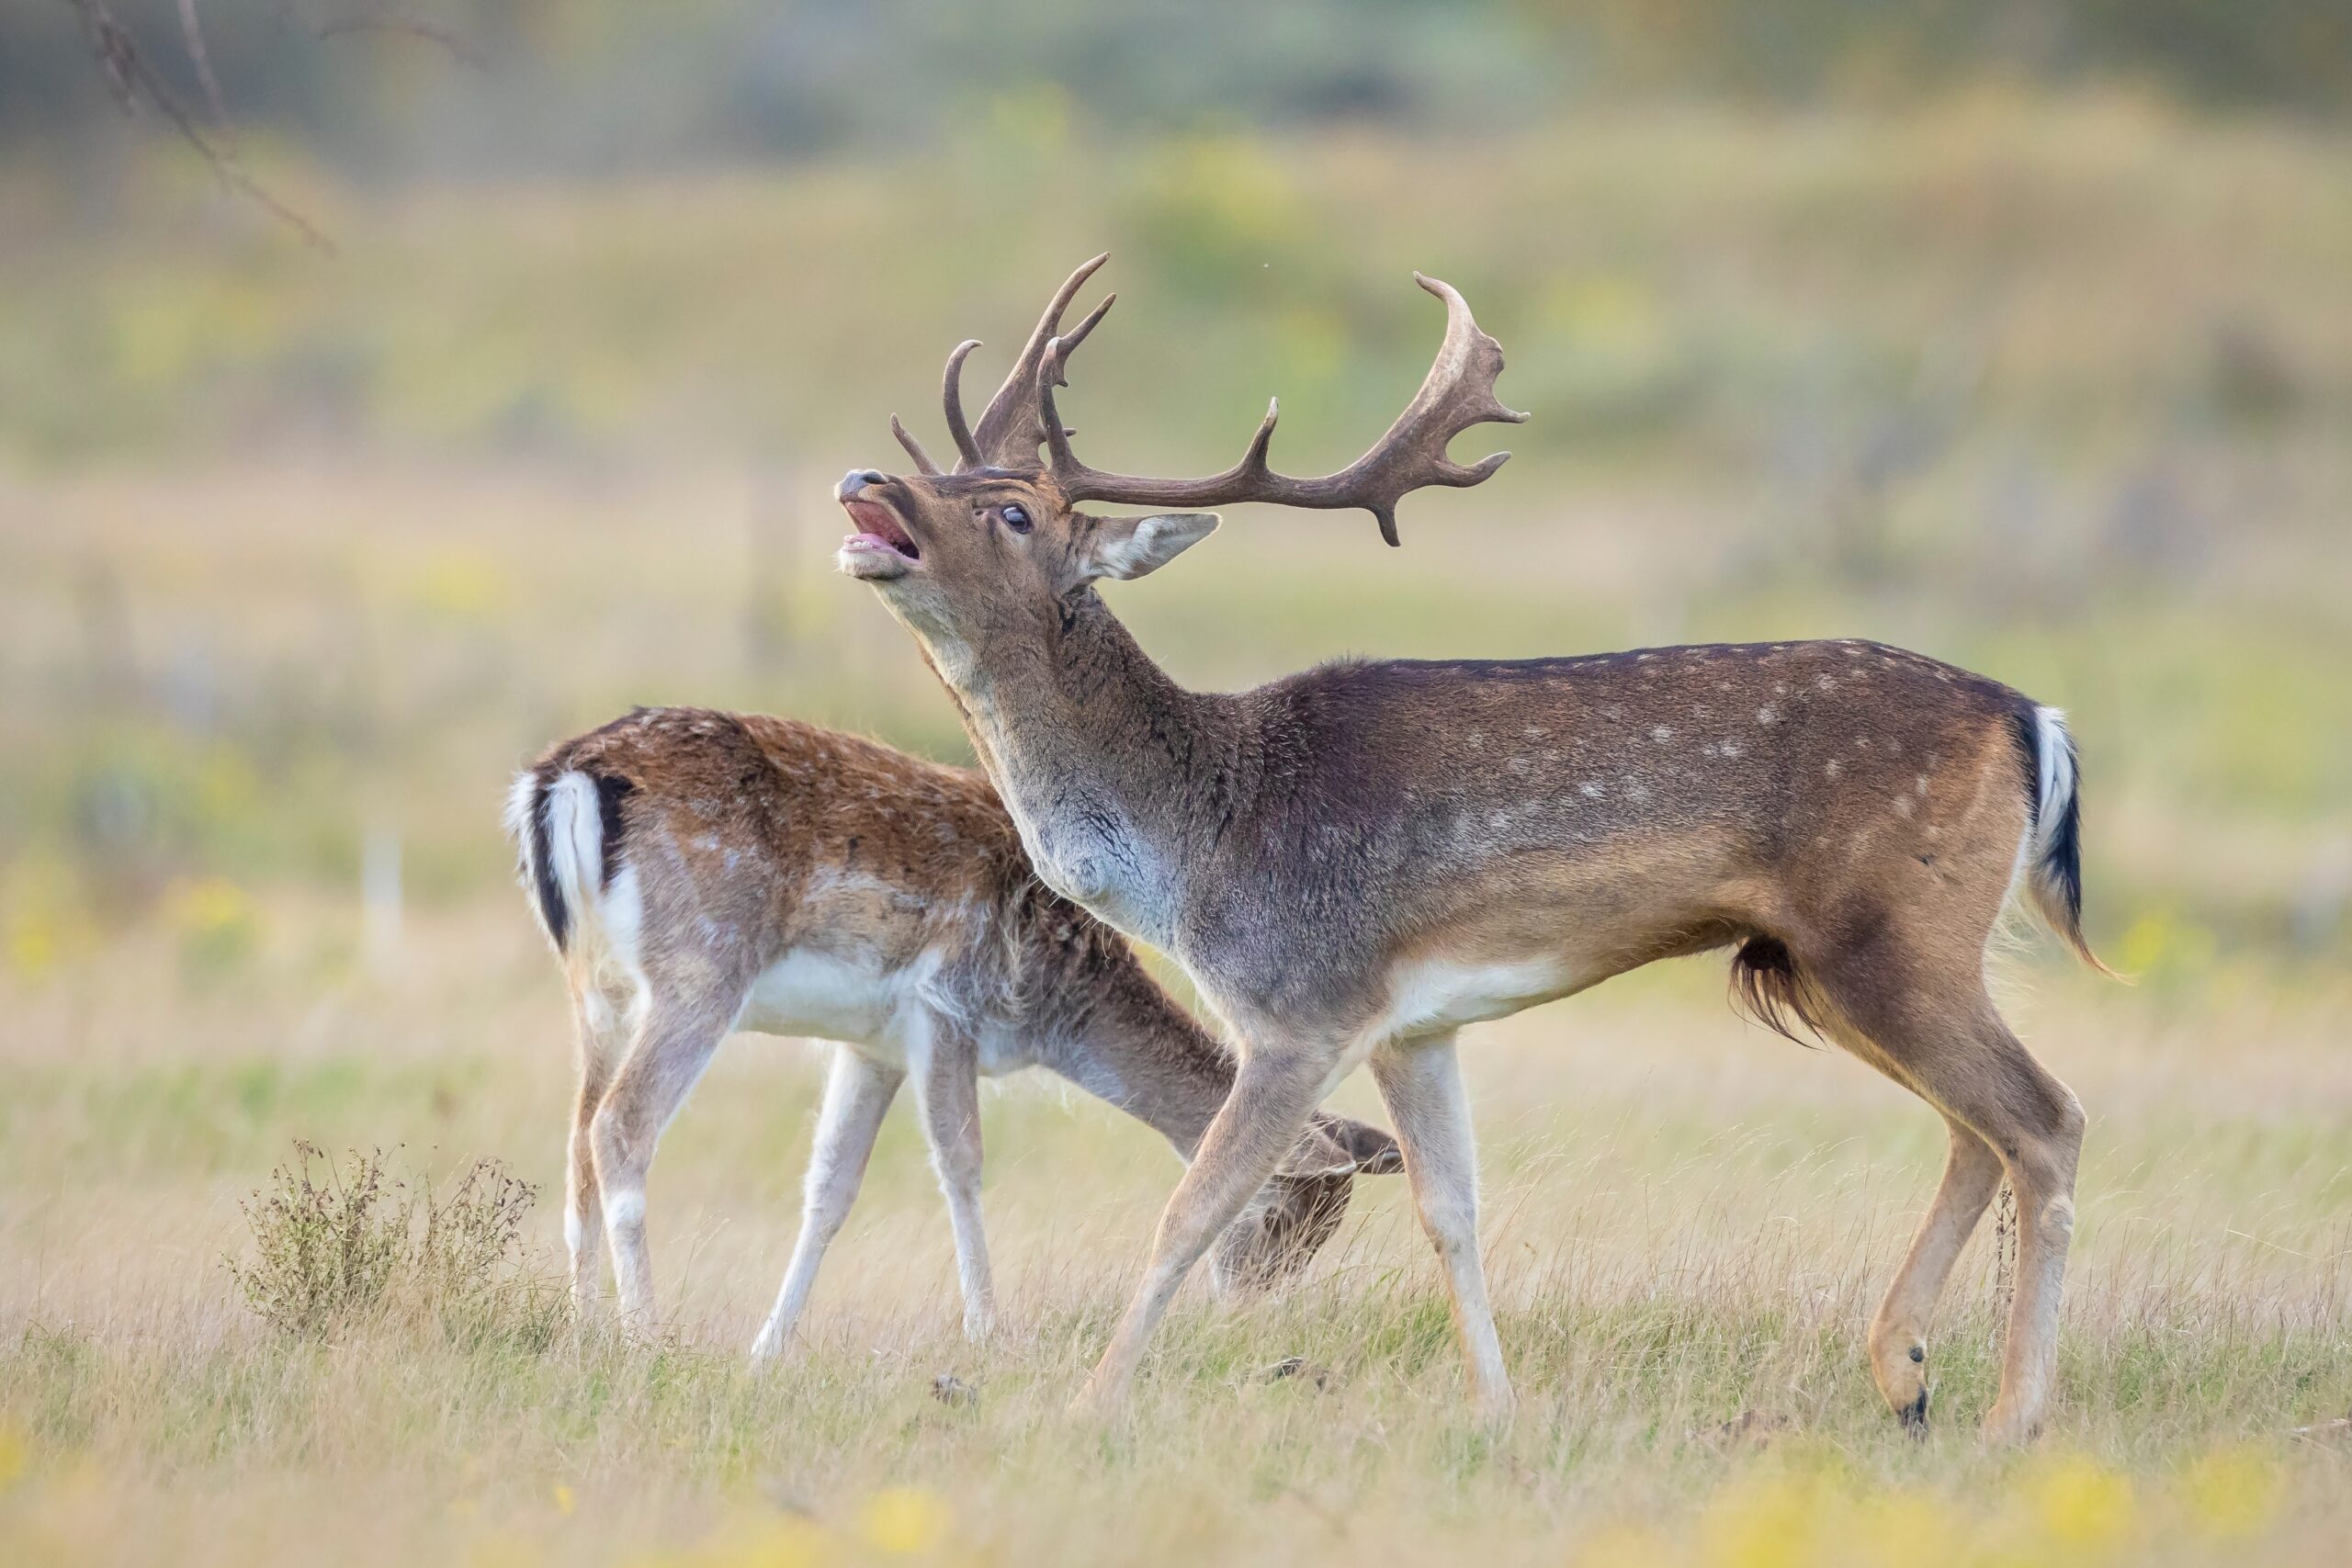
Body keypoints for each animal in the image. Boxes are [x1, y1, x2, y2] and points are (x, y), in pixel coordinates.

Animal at [503, 705, 1392, 1354]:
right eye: (1284, 1216)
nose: (1247, 1311)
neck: (1054, 1005)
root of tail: (561, 777)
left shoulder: (870, 1045)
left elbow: (829, 1189)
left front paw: (769, 1348)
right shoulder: (946, 1005)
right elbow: (962, 1165)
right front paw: (988, 1332)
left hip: (597, 989)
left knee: (576, 1136)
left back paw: (584, 1331)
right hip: (700, 972)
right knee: (621, 1124)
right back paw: (643, 1337)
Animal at [832, 257, 2117, 1448]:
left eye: (1013, 513)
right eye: (947, 477)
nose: (863, 479)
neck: (1201, 834)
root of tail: (2035, 721)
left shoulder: (1302, 1006)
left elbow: (1192, 1207)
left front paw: (1089, 1406)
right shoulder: (1413, 1025)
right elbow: (1450, 1210)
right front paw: (1498, 1410)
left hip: (1893, 934)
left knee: (2045, 1119)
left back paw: (2013, 1418)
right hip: (1829, 961)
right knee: (1978, 1130)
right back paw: (1905, 1376)